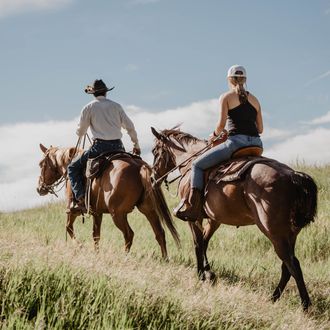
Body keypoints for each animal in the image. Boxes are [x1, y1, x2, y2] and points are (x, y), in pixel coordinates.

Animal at [37, 143, 179, 260]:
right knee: (159, 233)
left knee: (129, 234)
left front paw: (80, 246)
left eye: (41, 163)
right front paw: (96, 253)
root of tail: (140, 167)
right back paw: (165, 259)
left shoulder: (72, 211)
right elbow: (96, 234)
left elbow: (69, 228)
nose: (39, 188)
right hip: (148, 209)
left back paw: (125, 257)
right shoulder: (97, 213)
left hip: (118, 214)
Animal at [151, 127, 318, 310]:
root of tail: (293, 175)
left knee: (293, 265)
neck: (191, 162)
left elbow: (198, 243)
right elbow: (205, 242)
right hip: (290, 234)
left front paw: (201, 274)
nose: (152, 178)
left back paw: (305, 305)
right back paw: (274, 298)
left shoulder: (193, 218)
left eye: (154, 151)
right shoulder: (214, 219)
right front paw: (209, 273)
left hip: (274, 232)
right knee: (287, 267)